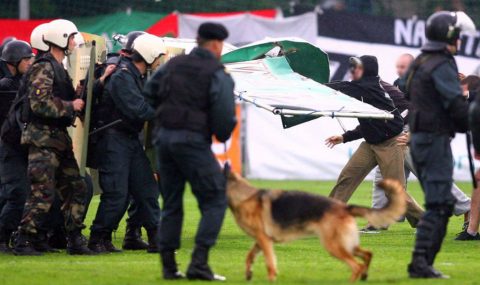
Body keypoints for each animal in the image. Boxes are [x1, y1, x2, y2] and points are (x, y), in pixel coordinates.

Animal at [226, 171, 404, 282]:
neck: (243, 196)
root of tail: (345, 207)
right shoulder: (262, 240)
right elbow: (249, 256)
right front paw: (249, 274)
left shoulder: (264, 240)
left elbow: (270, 264)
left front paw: (270, 279)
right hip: (346, 244)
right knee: (367, 255)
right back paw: (364, 276)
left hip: (333, 246)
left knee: (356, 266)